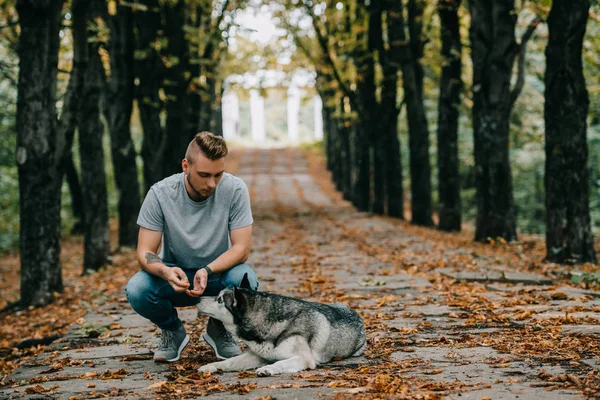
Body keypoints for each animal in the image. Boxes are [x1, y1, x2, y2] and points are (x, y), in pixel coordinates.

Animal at [197, 274, 366, 376]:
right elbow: (230, 361)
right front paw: (211, 366)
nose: (198, 298)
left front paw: (268, 368)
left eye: (219, 300)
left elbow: (281, 362)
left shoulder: (303, 358)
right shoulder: (257, 355)